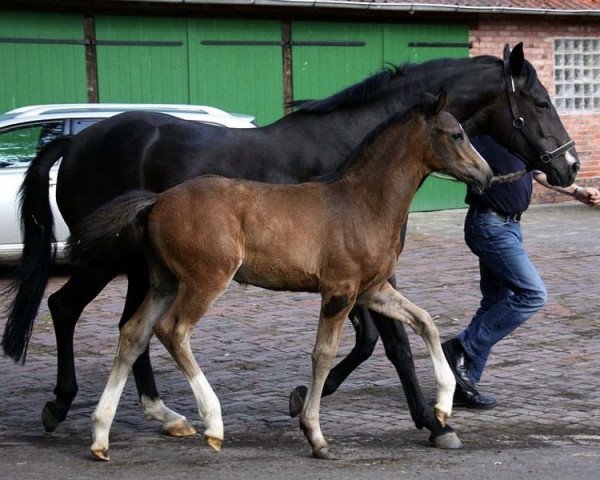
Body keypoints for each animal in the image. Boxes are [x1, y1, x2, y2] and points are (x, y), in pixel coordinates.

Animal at [2, 42, 580, 450]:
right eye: (539, 100)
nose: (569, 167)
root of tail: (74, 140)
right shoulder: (352, 278)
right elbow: (385, 343)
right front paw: (428, 421)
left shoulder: (362, 279)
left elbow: (384, 337)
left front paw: (313, 399)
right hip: (119, 259)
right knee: (72, 307)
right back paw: (76, 405)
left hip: (148, 269)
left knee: (130, 328)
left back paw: (158, 417)